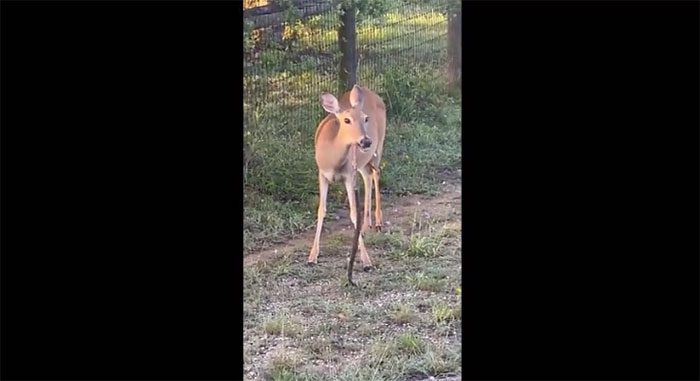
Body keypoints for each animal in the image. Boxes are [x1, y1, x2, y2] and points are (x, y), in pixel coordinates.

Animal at [308, 85, 388, 270]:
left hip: (378, 146)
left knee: (376, 173)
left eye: (365, 118)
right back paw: (365, 227)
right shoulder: (322, 173)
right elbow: (321, 210)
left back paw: (378, 222)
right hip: (362, 162)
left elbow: (353, 213)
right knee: (368, 176)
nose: (365, 141)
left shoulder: (348, 175)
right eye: (346, 120)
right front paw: (312, 256)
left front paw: (366, 261)